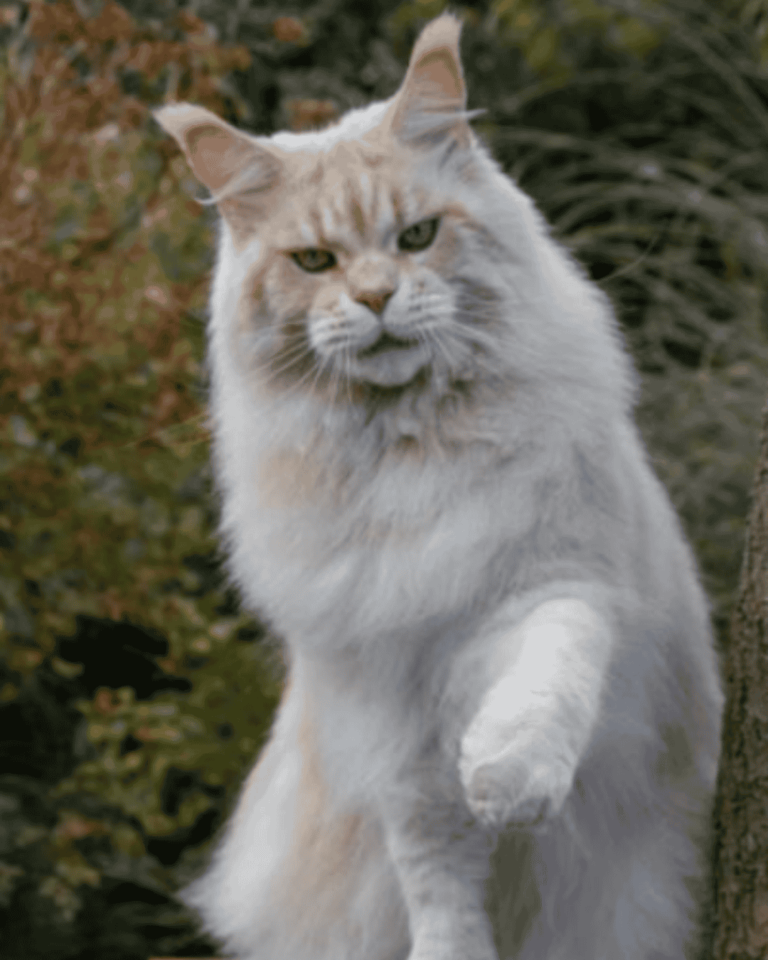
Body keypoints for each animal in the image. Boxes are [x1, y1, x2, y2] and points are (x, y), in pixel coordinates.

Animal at [154, 15, 720, 960]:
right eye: (315, 261)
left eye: (417, 237)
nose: (377, 298)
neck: (410, 456)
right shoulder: (392, 717)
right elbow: (440, 877)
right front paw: (454, 939)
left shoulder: (557, 584)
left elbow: (546, 674)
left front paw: (510, 777)